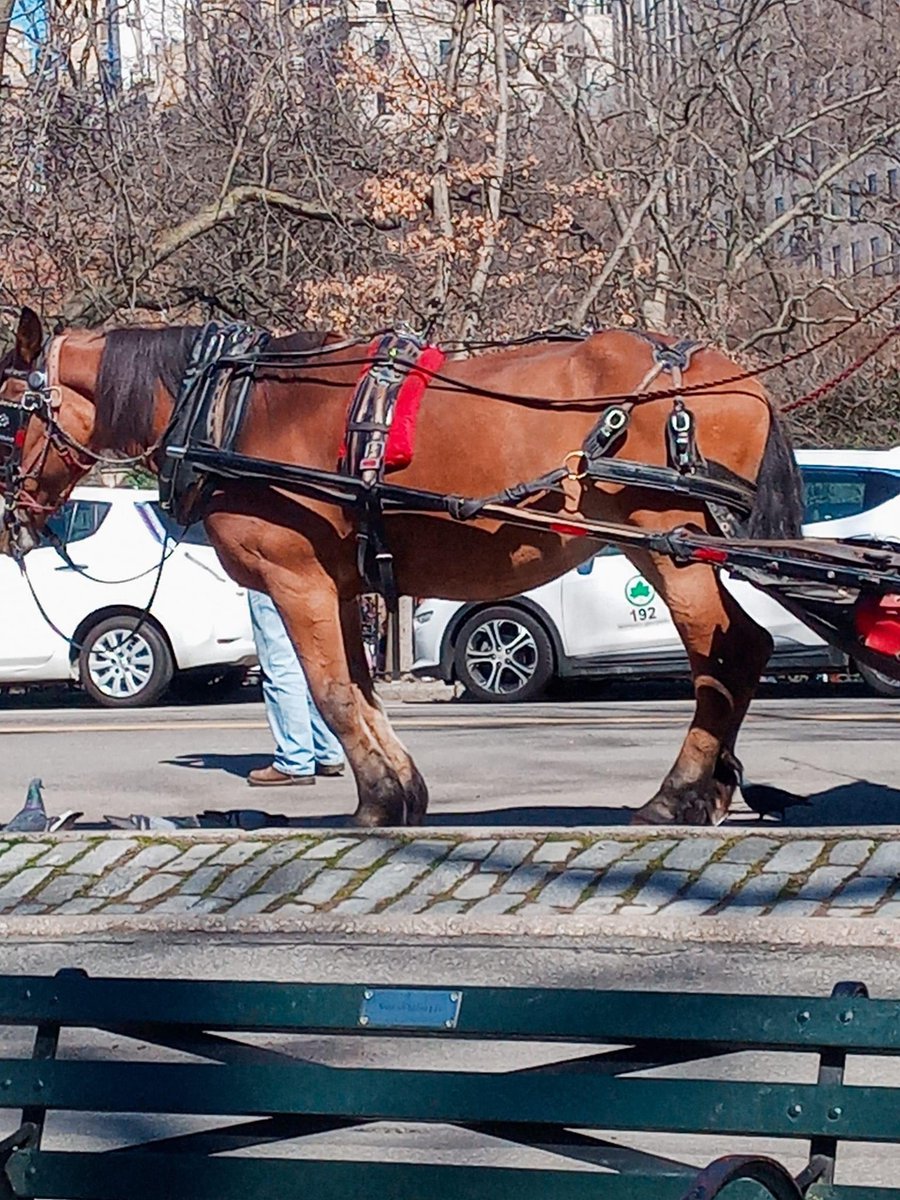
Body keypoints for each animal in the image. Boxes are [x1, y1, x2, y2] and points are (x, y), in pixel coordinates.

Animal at [0, 306, 804, 828]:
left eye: (6, 414)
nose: (14, 519)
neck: (233, 406)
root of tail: (732, 374)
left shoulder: (296, 580)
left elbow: (330, 694)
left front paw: (380, 802)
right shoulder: (340, 586)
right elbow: (359, 689)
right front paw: (399, 789)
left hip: (667, 541)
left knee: (730, 653)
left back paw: (681, 793)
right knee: (738, 651)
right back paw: (714, 785)